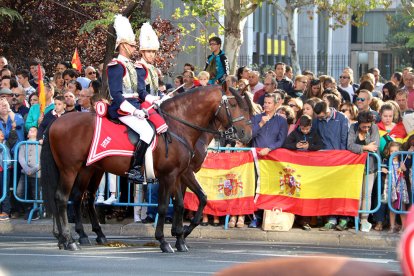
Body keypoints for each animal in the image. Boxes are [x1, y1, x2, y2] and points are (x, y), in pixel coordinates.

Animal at [41, 85, 252, 252]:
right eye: (234, 105)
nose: (246, 134)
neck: (177, 126)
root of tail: (57, 121)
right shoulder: (170, 175)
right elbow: (165, 206)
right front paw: (165, 241)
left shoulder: (179, 174)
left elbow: (186, 202)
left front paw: (180, 237)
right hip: (71, 169)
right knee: (62, 198)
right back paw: (69, 239)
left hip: (89, 169)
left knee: (81, 197)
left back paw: (76, 237)